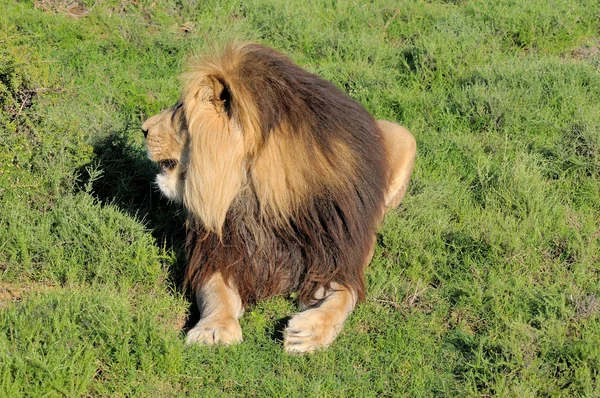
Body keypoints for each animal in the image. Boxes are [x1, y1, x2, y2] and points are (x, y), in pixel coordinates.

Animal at [142, 42, 414, 354]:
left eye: (182, 113)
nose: (143, 128)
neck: (260, 198)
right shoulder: (221, 254)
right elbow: (216, 294)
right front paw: (214, 329)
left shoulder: (336, 258)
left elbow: (343, 296)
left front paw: (309, 332)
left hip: (404, 136)